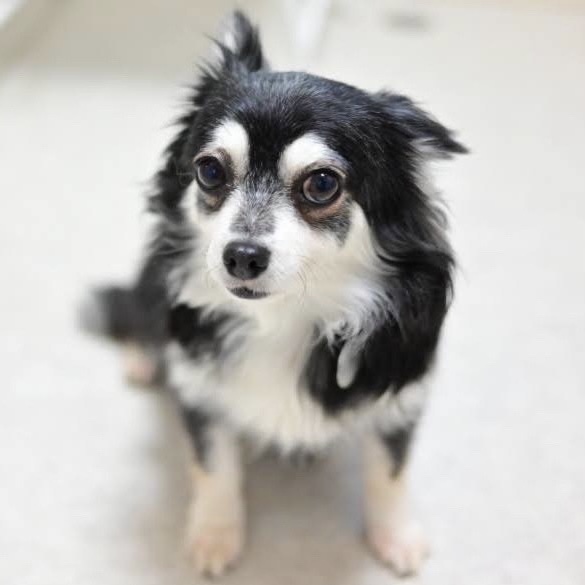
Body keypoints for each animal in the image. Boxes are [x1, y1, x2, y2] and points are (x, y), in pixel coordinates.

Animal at [82, 11, 466, 578]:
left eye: (322, 184)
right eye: (210, 170)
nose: (241, 255)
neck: (285, 317)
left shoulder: (401, 388)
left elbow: (389, 470)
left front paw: (396, 536)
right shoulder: (200, 388)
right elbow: (213, 466)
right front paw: (215, 536)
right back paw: (143, 358)